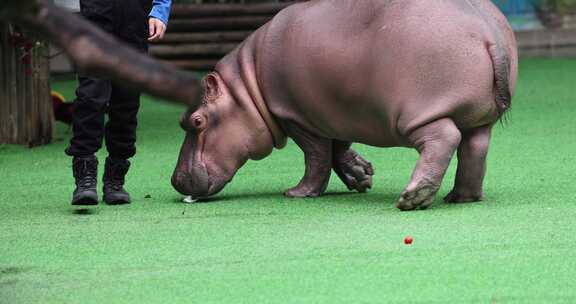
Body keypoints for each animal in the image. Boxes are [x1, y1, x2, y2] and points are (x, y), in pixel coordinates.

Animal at [170, 0, 516, 210]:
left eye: (197, 121)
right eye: (182, 121)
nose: (175, 180)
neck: (247, 87)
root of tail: (488, 32)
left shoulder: (297, 117)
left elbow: (317, 156)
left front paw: (298, 193)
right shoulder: (335, 110)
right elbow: (338, 148)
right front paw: (361, 176)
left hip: (419, 115)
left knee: (444, 140)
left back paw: (413, 197)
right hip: (478, 117)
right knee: (474, 148)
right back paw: (459, 197)